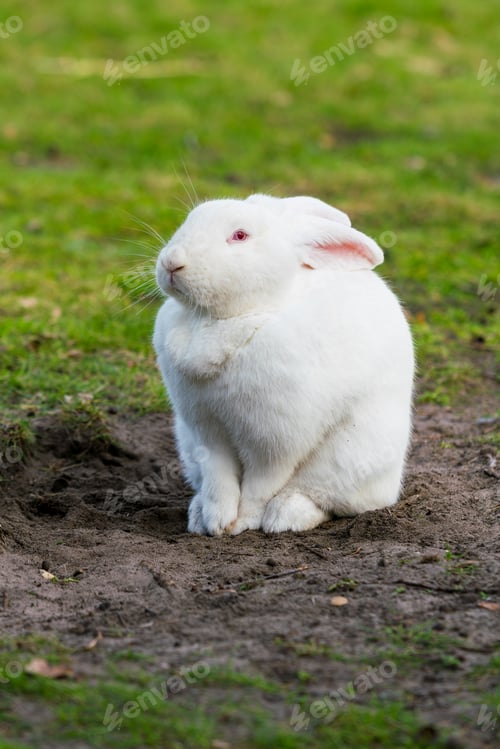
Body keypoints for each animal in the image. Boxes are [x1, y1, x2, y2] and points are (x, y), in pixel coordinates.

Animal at [153, 194, 414, 535]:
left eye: (240, 235)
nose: (172, 263)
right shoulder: (204, 430)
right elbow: (218, 479)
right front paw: (216, 522)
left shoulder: (275, 441)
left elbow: (260, 487)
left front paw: (241, 523)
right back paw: (197, 514)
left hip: (350, 460)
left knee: (325, 500)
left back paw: (285, 517)